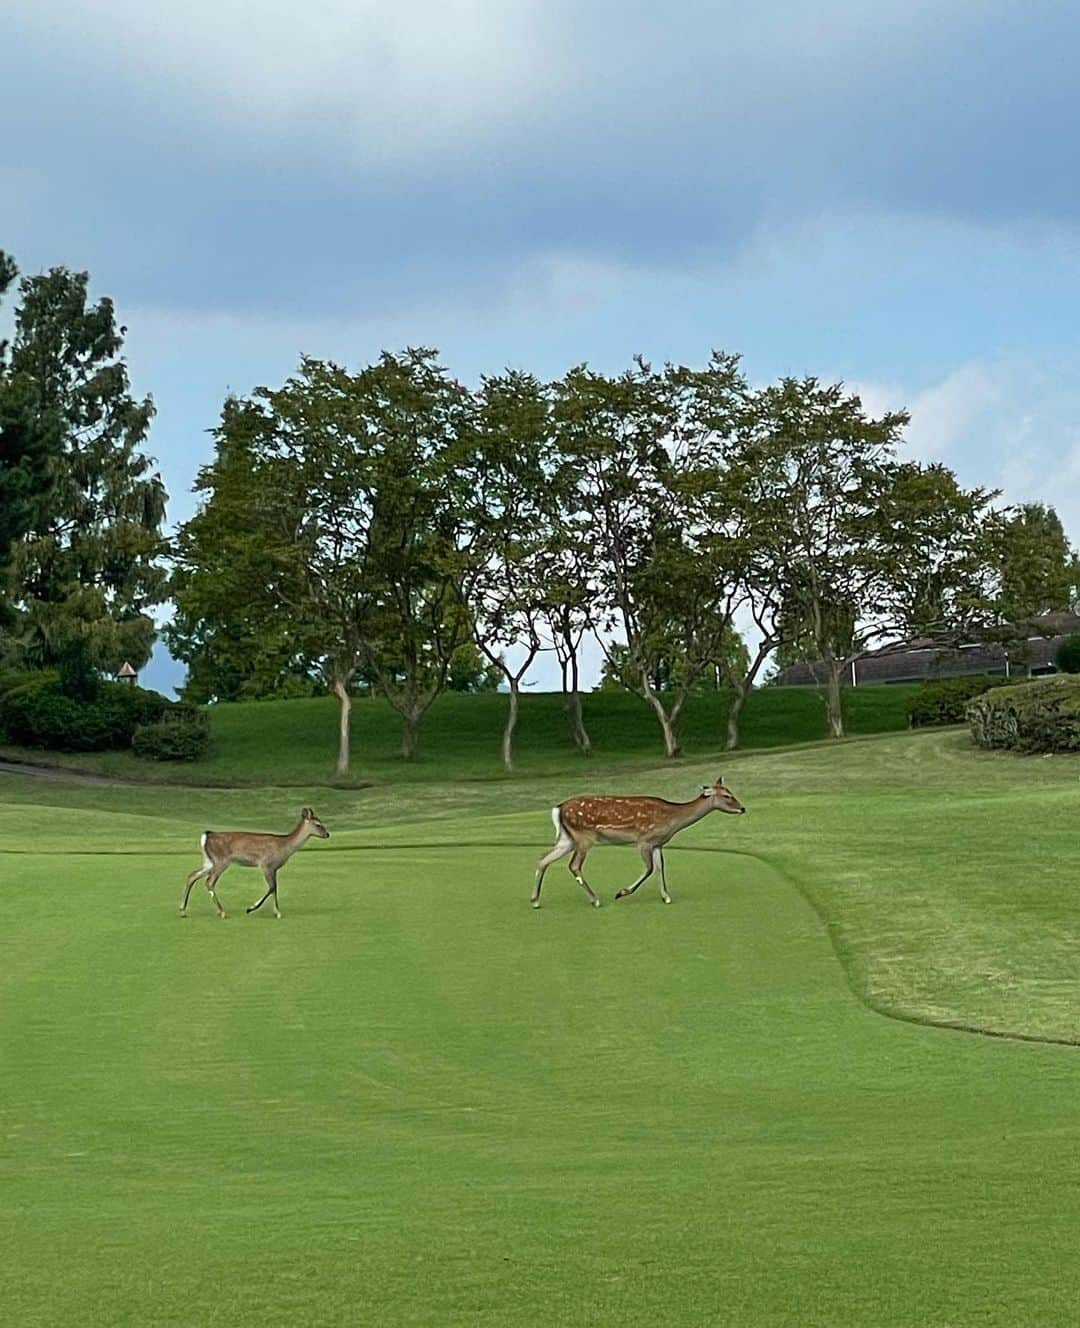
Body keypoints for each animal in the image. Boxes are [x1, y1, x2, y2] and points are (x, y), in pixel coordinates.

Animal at [180, 802, 328, 918]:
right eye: (318, 824)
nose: (327, 834)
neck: (284, 848)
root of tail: (206, 836)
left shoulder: (274, 868)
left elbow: (275, 888)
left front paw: (277, 912)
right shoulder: (266, 864)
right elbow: (271, 887)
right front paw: (251, 908)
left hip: (209, 861)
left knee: (192, 875)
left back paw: (183, 910)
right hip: (221, 860)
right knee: (209, 882)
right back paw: (222, 912)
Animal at [528, 775, 743, 908]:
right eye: (727, 796)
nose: (743, 808)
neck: (672, 819)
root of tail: (558, 808)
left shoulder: (658, 843)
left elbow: (660, 868)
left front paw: (666, 897)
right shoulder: (644, 840)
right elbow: (649, 869)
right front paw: (621, 892)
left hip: (567, 838)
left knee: (543, 858)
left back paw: (535, 900)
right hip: (583, 837)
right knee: (573, 865)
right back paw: (595, 900)